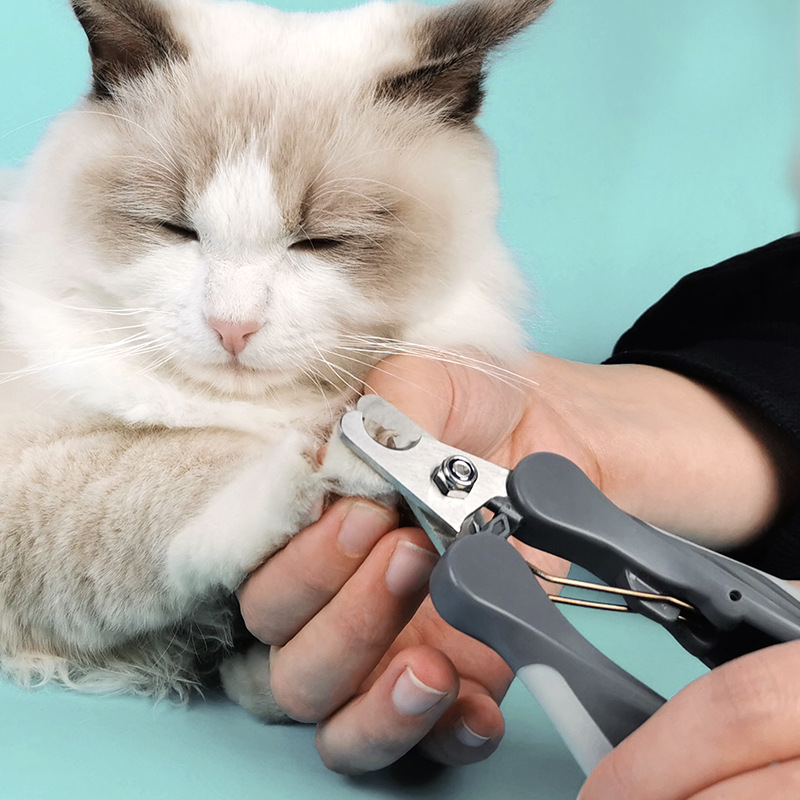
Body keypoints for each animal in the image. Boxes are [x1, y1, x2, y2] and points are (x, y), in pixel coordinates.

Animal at [0, 0, 550, 719]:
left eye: (322, 242)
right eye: (176, 229)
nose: (232, 327)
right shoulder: (30, 473)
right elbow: (168, 473)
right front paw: (319, 467)